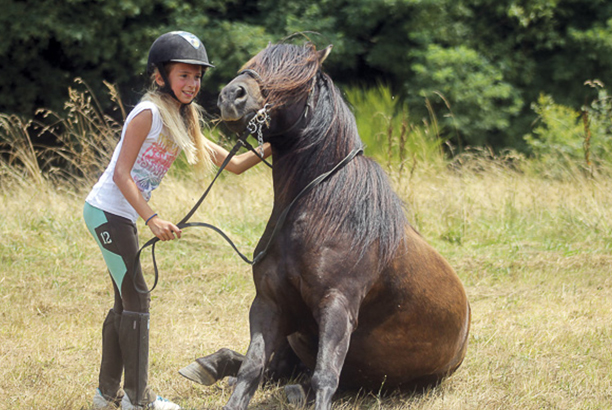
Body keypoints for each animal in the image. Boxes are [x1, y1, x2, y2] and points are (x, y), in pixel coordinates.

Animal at [179, 42, 470, 410]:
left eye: (295, 79)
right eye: (252, 63)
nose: (232, 95)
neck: (320, 213)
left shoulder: (337, 307)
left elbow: (325, 377)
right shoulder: (269, 304)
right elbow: (251, 368)